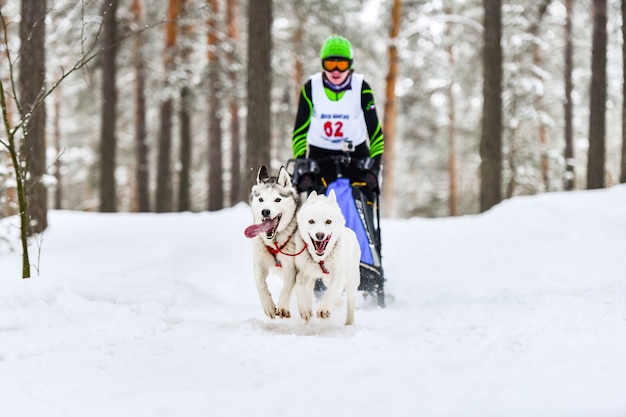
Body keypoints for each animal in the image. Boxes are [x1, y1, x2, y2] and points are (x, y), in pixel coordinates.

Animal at [244, 165, 300, 318]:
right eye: (261, 199)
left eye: (277, 199)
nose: (265, 211)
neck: (274, 241)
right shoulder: (259, 264)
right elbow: (260, 285)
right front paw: (268, 306)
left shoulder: (291, 266)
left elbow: (286, 288)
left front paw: (283, 306)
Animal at [294, 189, 360, 324]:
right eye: (311, 221)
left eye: (328, 221)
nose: (320, 235)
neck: (320, 259)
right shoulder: (304, 272)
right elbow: (299, 285)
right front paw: (305, 310)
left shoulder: (339, 274)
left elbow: (331, 292)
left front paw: (324, 309)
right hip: (325, 278)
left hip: (352, 280)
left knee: (350, 299)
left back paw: (349, 322)